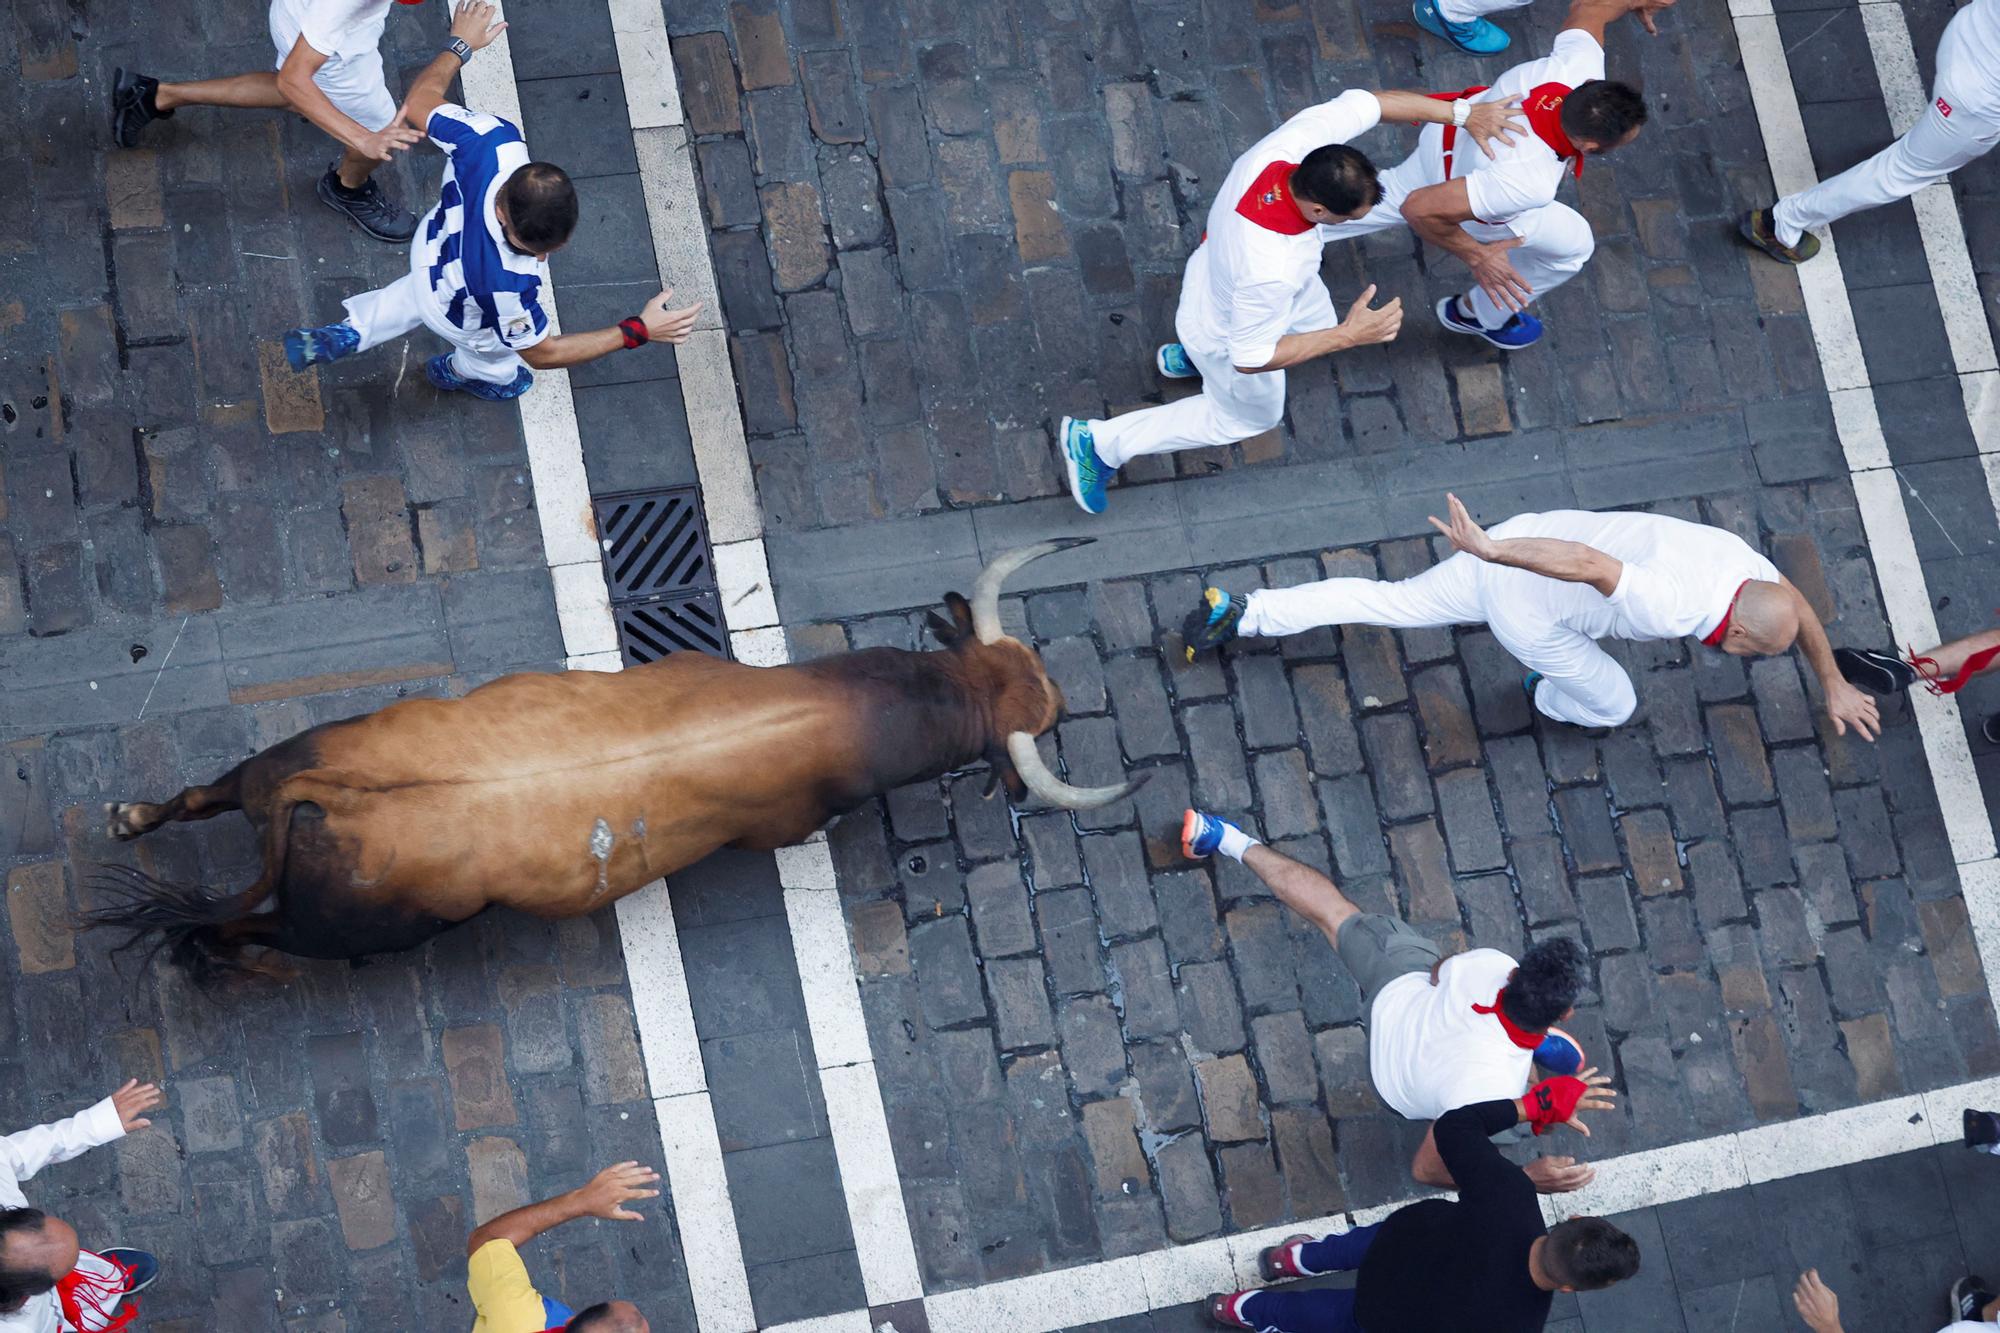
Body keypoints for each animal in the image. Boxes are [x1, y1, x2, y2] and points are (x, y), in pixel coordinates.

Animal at [90, 536, 1144, 976]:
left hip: (286, 757)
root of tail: (326, 789)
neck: (839, 708)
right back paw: (217, 960)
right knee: (245, 928)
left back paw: (132, 817)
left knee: (205, 794)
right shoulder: (788, 825)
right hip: (362, 928)